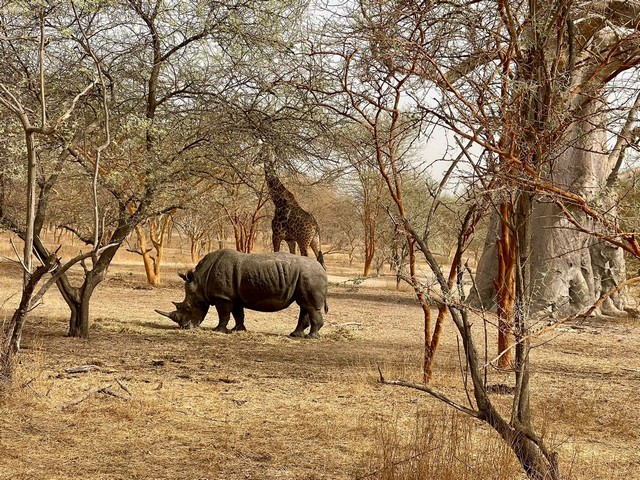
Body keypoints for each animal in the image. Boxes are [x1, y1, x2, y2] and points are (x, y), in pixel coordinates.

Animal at [155, 249, 328, 338]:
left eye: (189, 307)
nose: (184, 327)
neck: (200, 280)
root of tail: (321, 267)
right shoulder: (233, 296)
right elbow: (238, 314)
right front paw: (237, 330)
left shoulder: (222, 296)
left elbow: (224, 314)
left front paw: (218, 331)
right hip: (306, 276)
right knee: (304, 305)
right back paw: (294, 335)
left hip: (310, 275)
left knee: (309, 306)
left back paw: (311, 337)